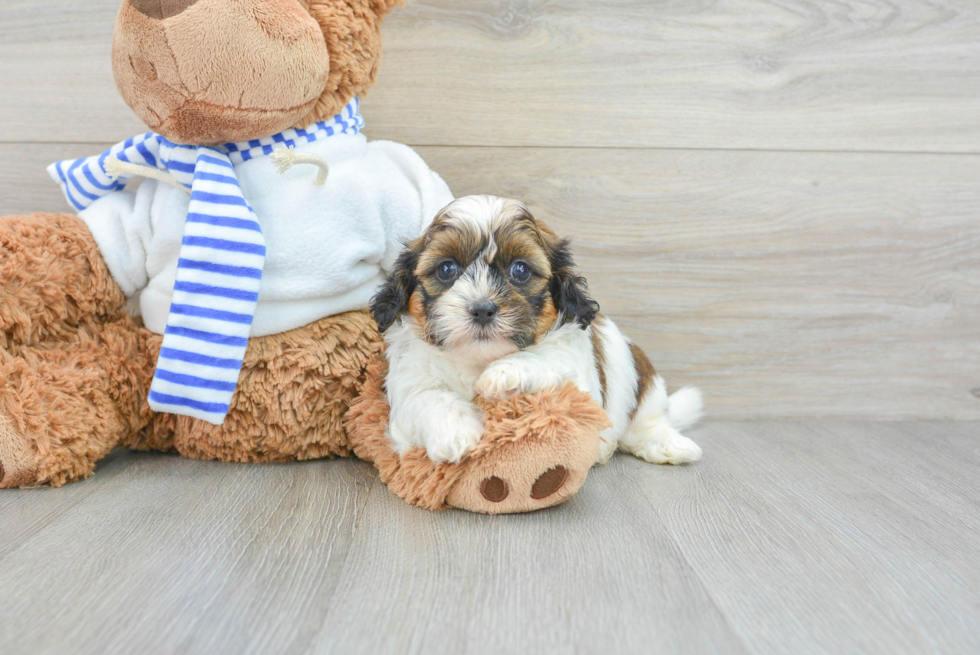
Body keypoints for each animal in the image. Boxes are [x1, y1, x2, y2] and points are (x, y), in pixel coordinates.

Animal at [370, 195, 704, 466]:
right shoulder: (408, 381)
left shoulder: (581, 385)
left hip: (642, 384)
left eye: (520, 270)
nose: (482, 308)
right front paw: (457, 434)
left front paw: (504, 373)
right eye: (446, 269)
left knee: (647, 422)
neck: (477, 359)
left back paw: (666, 445)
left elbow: (547, 359)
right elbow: (427, 396)